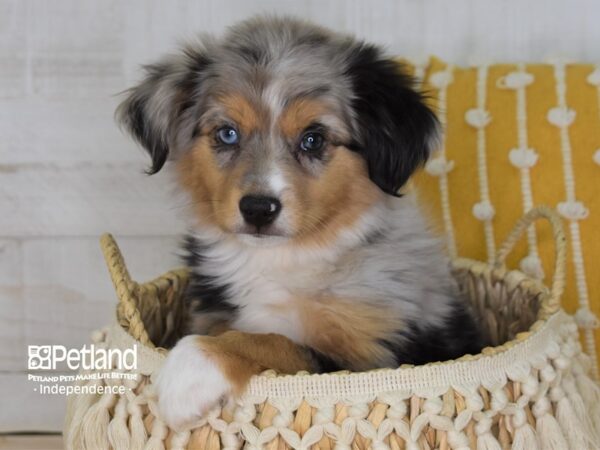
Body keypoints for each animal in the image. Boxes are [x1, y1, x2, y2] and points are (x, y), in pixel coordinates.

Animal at [117, 16, 482, 428]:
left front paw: (192, 371)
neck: (282, 258)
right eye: (227, 133)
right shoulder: (210, 314)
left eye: (313, 139)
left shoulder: (370, 359)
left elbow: (277, 341)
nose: (258, 208)